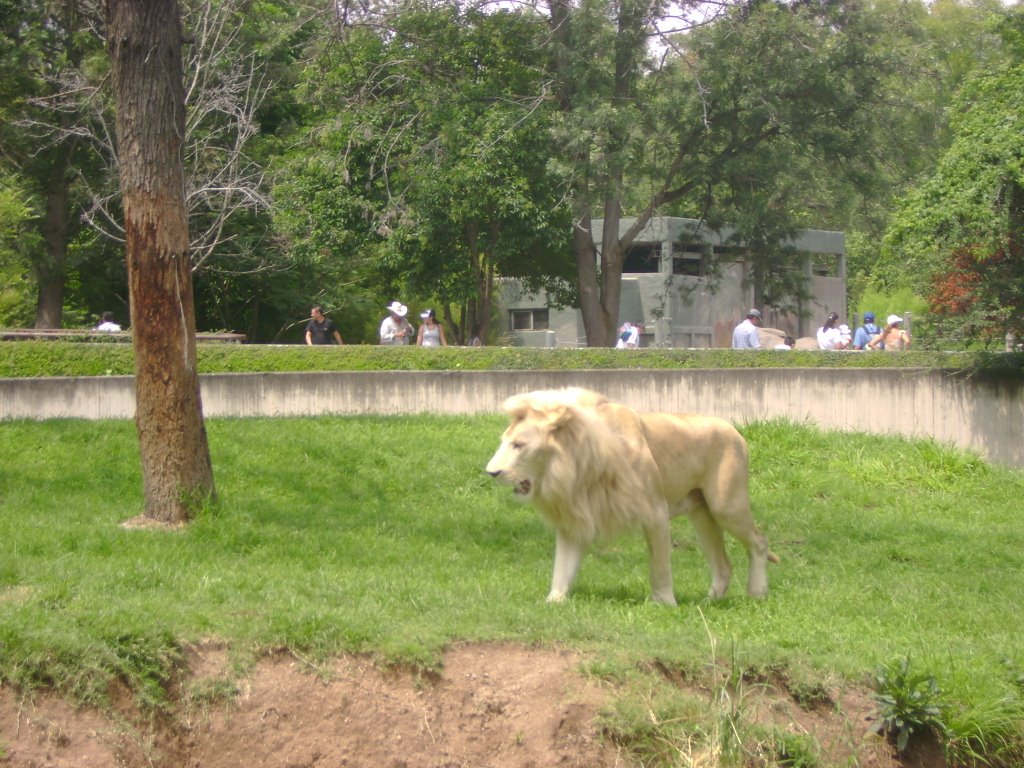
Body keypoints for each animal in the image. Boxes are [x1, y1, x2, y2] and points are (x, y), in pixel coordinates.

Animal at [483, 391, 778, 606]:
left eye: (518, 445)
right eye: (504, 442)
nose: (491, 472)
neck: (578, 468)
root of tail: (735, 430)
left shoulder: (655, 510)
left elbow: (660, 565)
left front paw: (665, 603)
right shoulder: (574, 520)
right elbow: (562, 566)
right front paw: (554, 601)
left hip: (725, 505)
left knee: (759, 541)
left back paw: (757, 593)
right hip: (701, 514)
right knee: (723, 563)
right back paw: (710, 602)